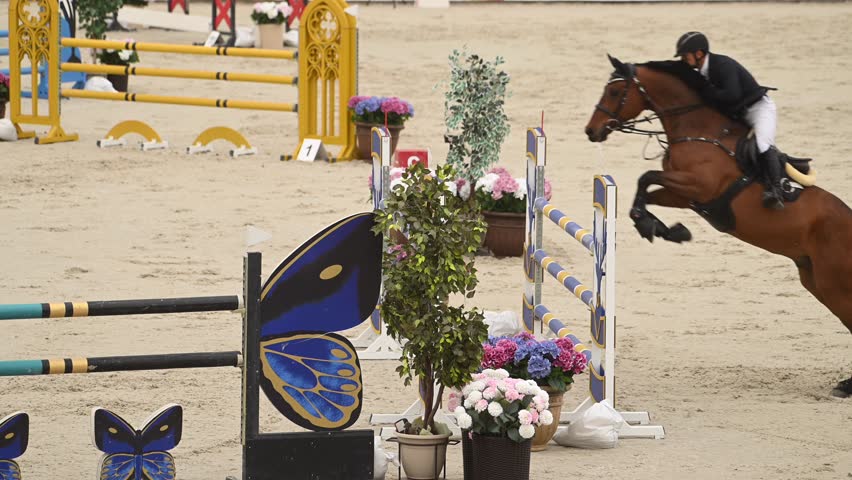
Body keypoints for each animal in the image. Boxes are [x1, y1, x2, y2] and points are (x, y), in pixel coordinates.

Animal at [584, 55, 852, 398]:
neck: (696, 128)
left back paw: (848, 385)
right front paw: (664, 229)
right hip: (814, 279)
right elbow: (645, 190)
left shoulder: (699, 186)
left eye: (616, 92)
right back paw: (846, 383)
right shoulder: (684, 196)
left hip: (834, 281)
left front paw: (654, 226)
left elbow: (646, 177)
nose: (591, 131)